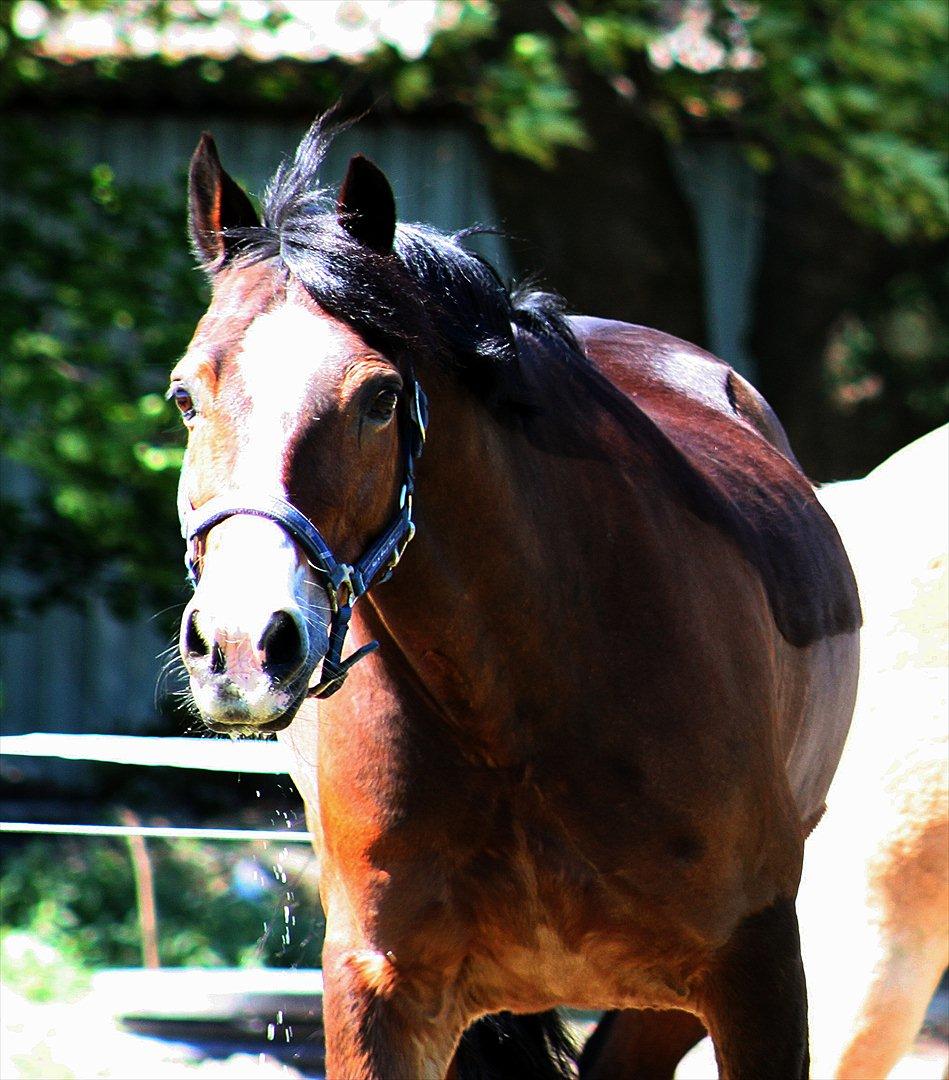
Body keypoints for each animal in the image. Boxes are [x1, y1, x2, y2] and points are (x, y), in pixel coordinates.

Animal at [170, 118, 859, 1080]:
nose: (240, 647)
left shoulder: (754, 974)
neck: (518, 710)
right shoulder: (378, 990)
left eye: (379, 397)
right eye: (184, 397)